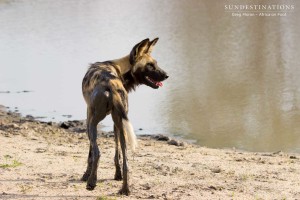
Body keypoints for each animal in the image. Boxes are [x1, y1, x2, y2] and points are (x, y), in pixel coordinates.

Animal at [81, 38, 168, 195]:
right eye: (150, 65)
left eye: (154, 64)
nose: (166, 75)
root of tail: (111, 84)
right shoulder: (117, 123)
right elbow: (118, 155)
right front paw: (118, 175)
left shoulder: (89, 116)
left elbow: (90, 153)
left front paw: (86, 175)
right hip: (122, 127)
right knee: (127, 162)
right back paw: (125, 189)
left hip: (93, 123)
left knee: (97, 153)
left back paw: (91, 182)